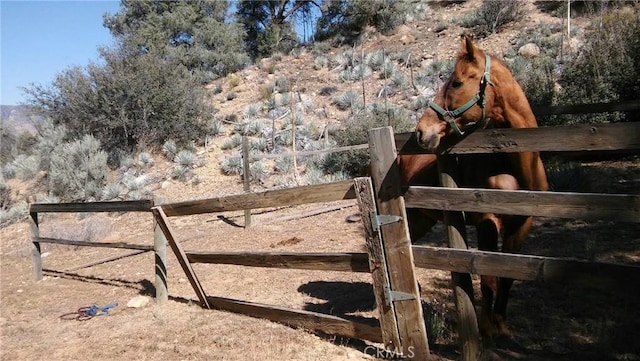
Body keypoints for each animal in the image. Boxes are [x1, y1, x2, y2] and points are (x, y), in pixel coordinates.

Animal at [408, 35, 548, 344]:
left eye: (456, 83)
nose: (422, 131)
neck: (517, 165)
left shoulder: (522, 224)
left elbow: (506, 278)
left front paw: (503, 328)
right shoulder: (488, 222)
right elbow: (488, 279)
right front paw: (484, 331)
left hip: (423, 219)